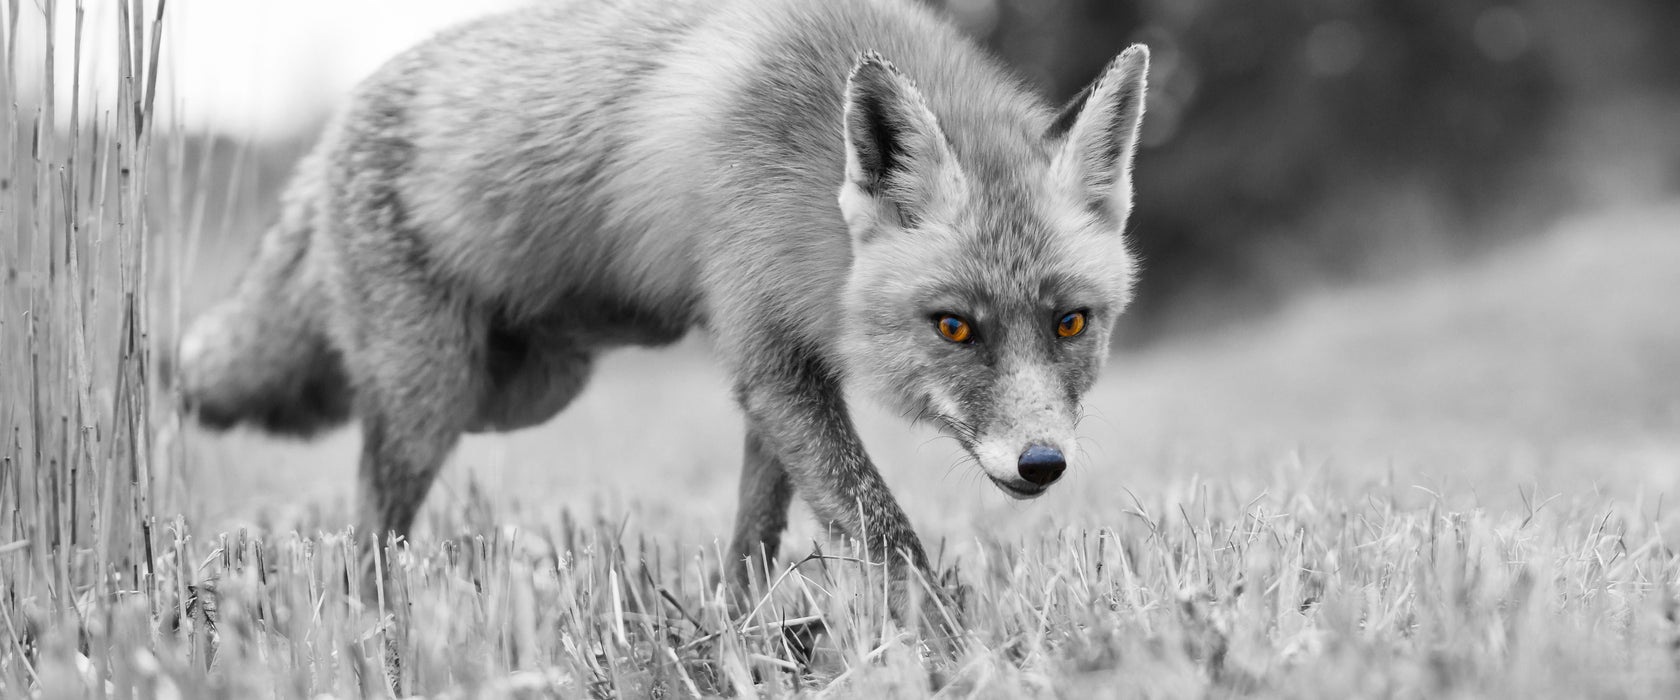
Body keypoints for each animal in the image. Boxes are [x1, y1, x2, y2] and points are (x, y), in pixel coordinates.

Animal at [183, 0, 1149, 617]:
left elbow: (759, 533)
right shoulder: (768, 355)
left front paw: (742, 635)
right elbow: (882, 530)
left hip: (525, 387)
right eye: (954, 326)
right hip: (438, 400)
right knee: (368, 518)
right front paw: (946, 645)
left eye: (1071, 323)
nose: (1041, 464)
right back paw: (370, 623)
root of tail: (329, 130)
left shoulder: (782, 372)